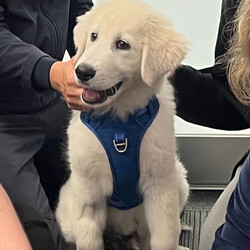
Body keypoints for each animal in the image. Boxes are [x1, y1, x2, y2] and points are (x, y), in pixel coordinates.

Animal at [56, 0, 189, 250]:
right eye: (94, 36)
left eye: (122, 45)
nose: (82, 71)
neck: (119, 124)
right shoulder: (89, 193)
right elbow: (89, 239)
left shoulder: (161, 186)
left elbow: (165, 236)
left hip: (179, 181)